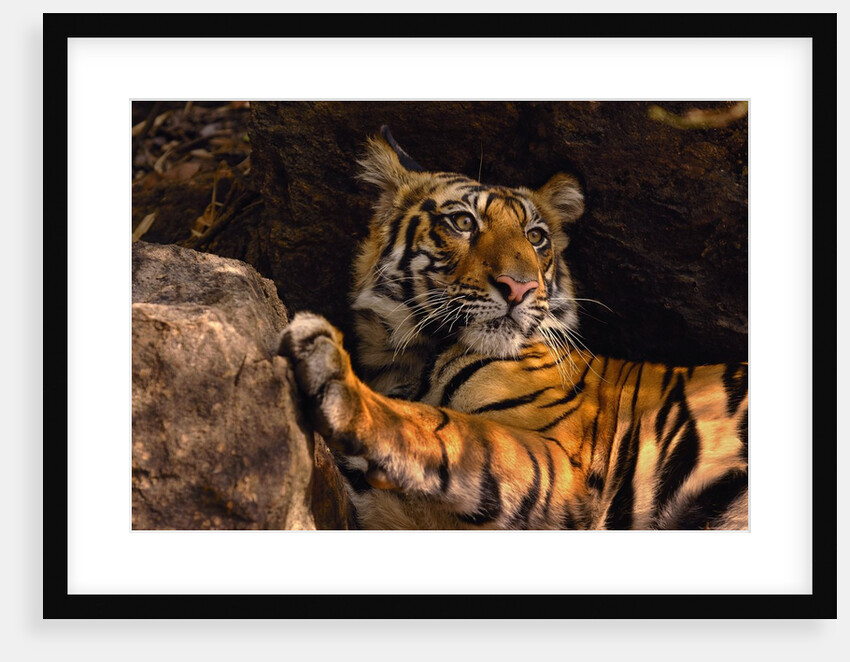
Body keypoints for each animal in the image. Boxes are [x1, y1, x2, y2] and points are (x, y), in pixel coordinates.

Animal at [278, 126, 748, 530]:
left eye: (536, 237)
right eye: (463, 223)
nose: (519, 287)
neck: (407, 358)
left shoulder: (561, 459)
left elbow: (445, 427)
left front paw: (334, 375)